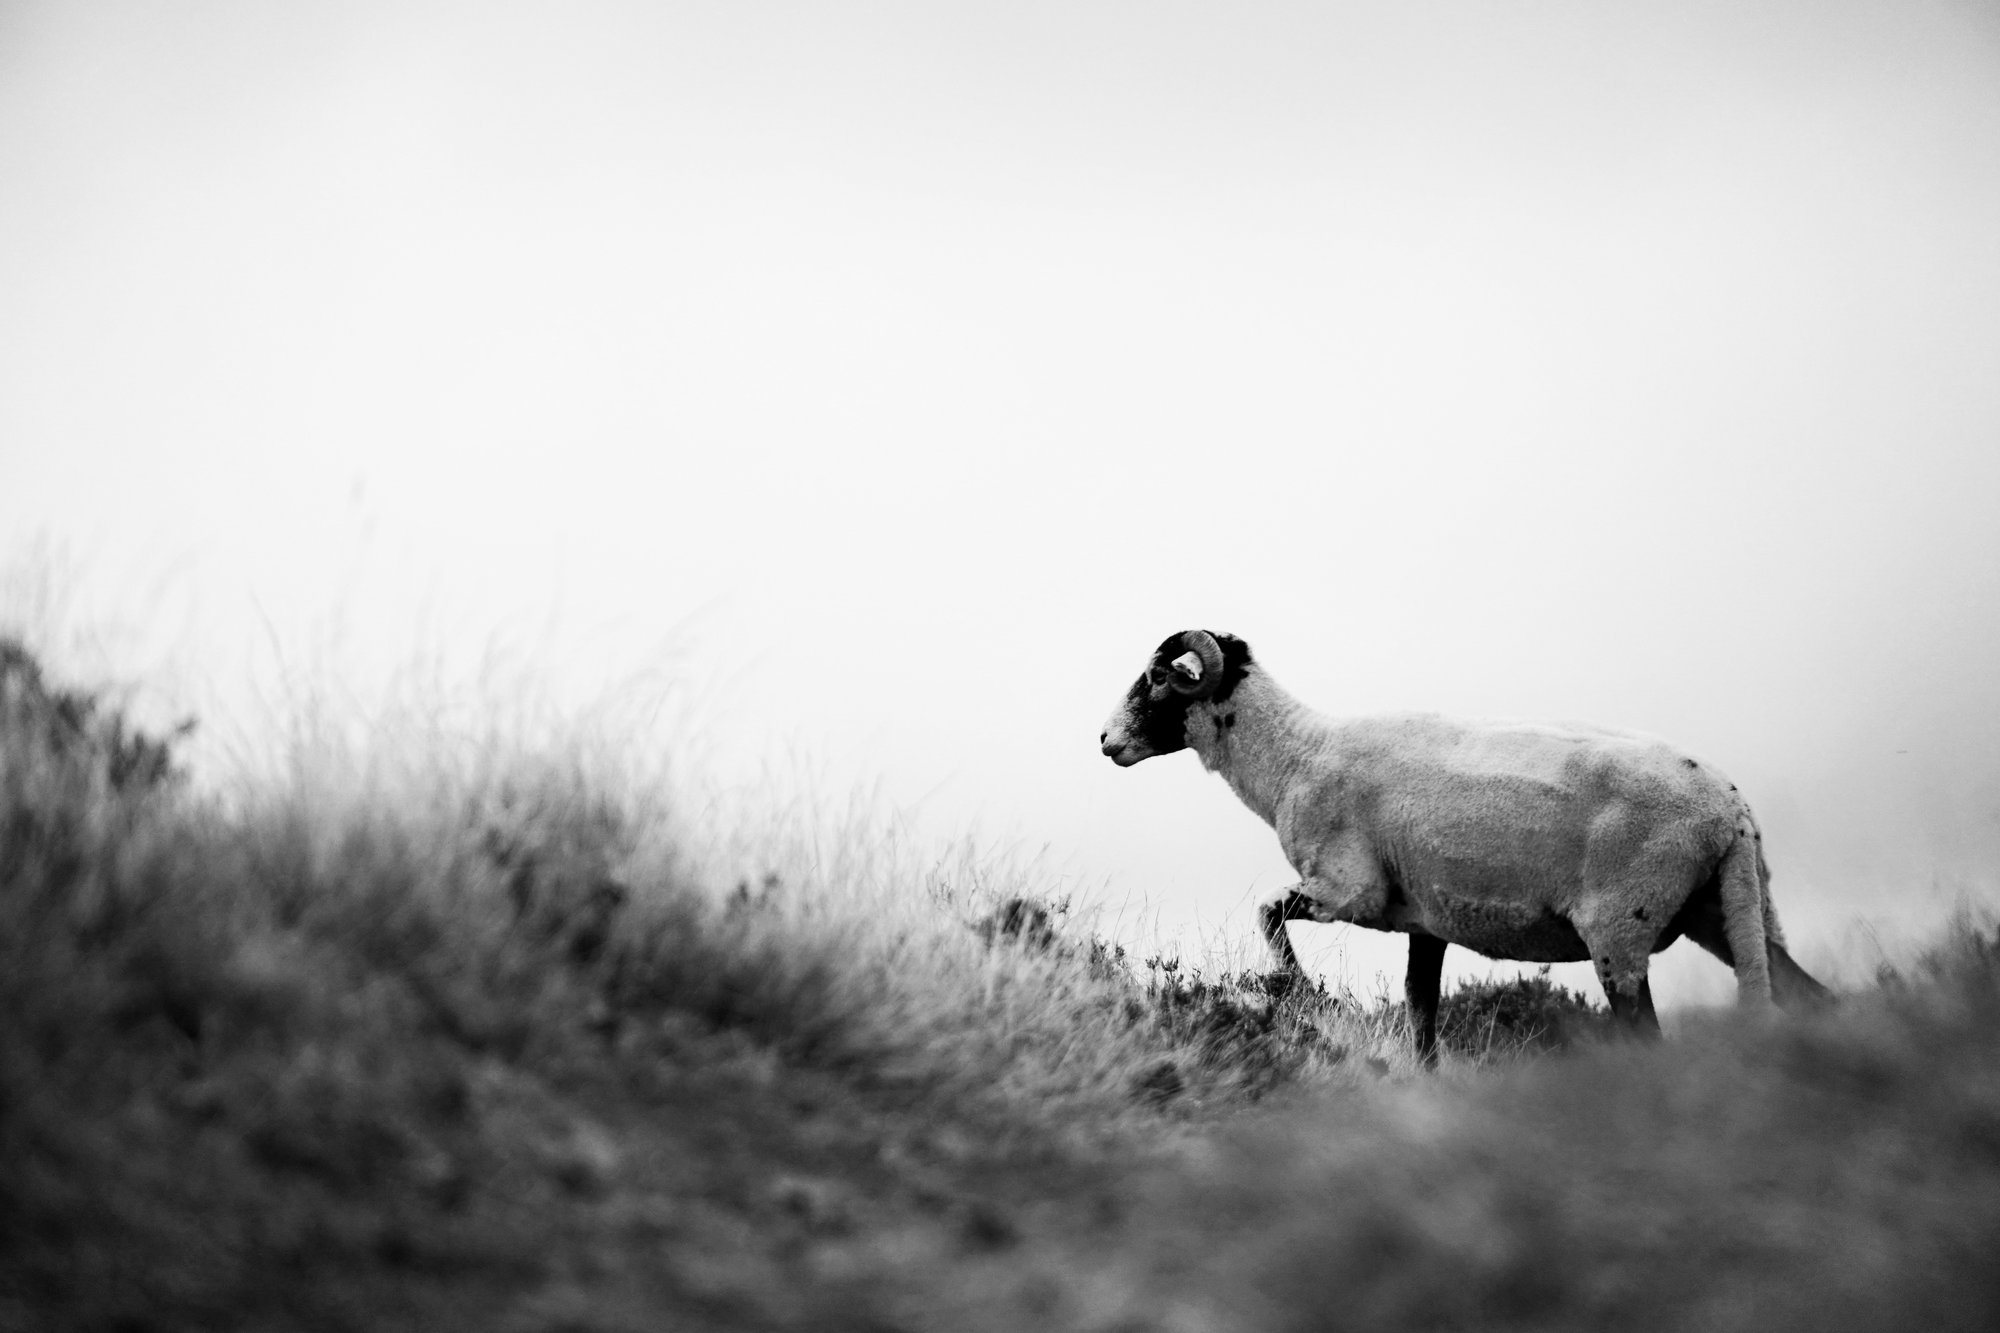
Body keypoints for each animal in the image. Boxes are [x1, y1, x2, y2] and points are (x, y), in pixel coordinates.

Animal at [1099, 629, 1828, 1063]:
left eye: (1160, 679)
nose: (1105, 741)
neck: (1296, 755)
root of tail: (1732, 813)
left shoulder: (1350, 889)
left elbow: (1268, 910)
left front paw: (1303, 994)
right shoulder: (1427, 923)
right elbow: (1420, 1013)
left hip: (1622, 927)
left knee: (1647, 1034)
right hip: (1728, 911)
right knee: (1809, 994)